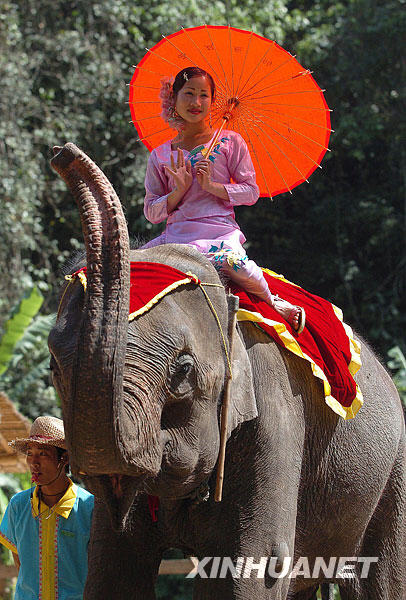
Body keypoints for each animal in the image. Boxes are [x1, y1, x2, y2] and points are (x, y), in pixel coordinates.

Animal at [48, 143, 406, 596]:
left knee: (382, 572)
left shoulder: (276, 415)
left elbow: (259, 560)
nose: (61, 153)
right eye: (56, 367)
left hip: (393, 468)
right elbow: (113, 563)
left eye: (182, 370)